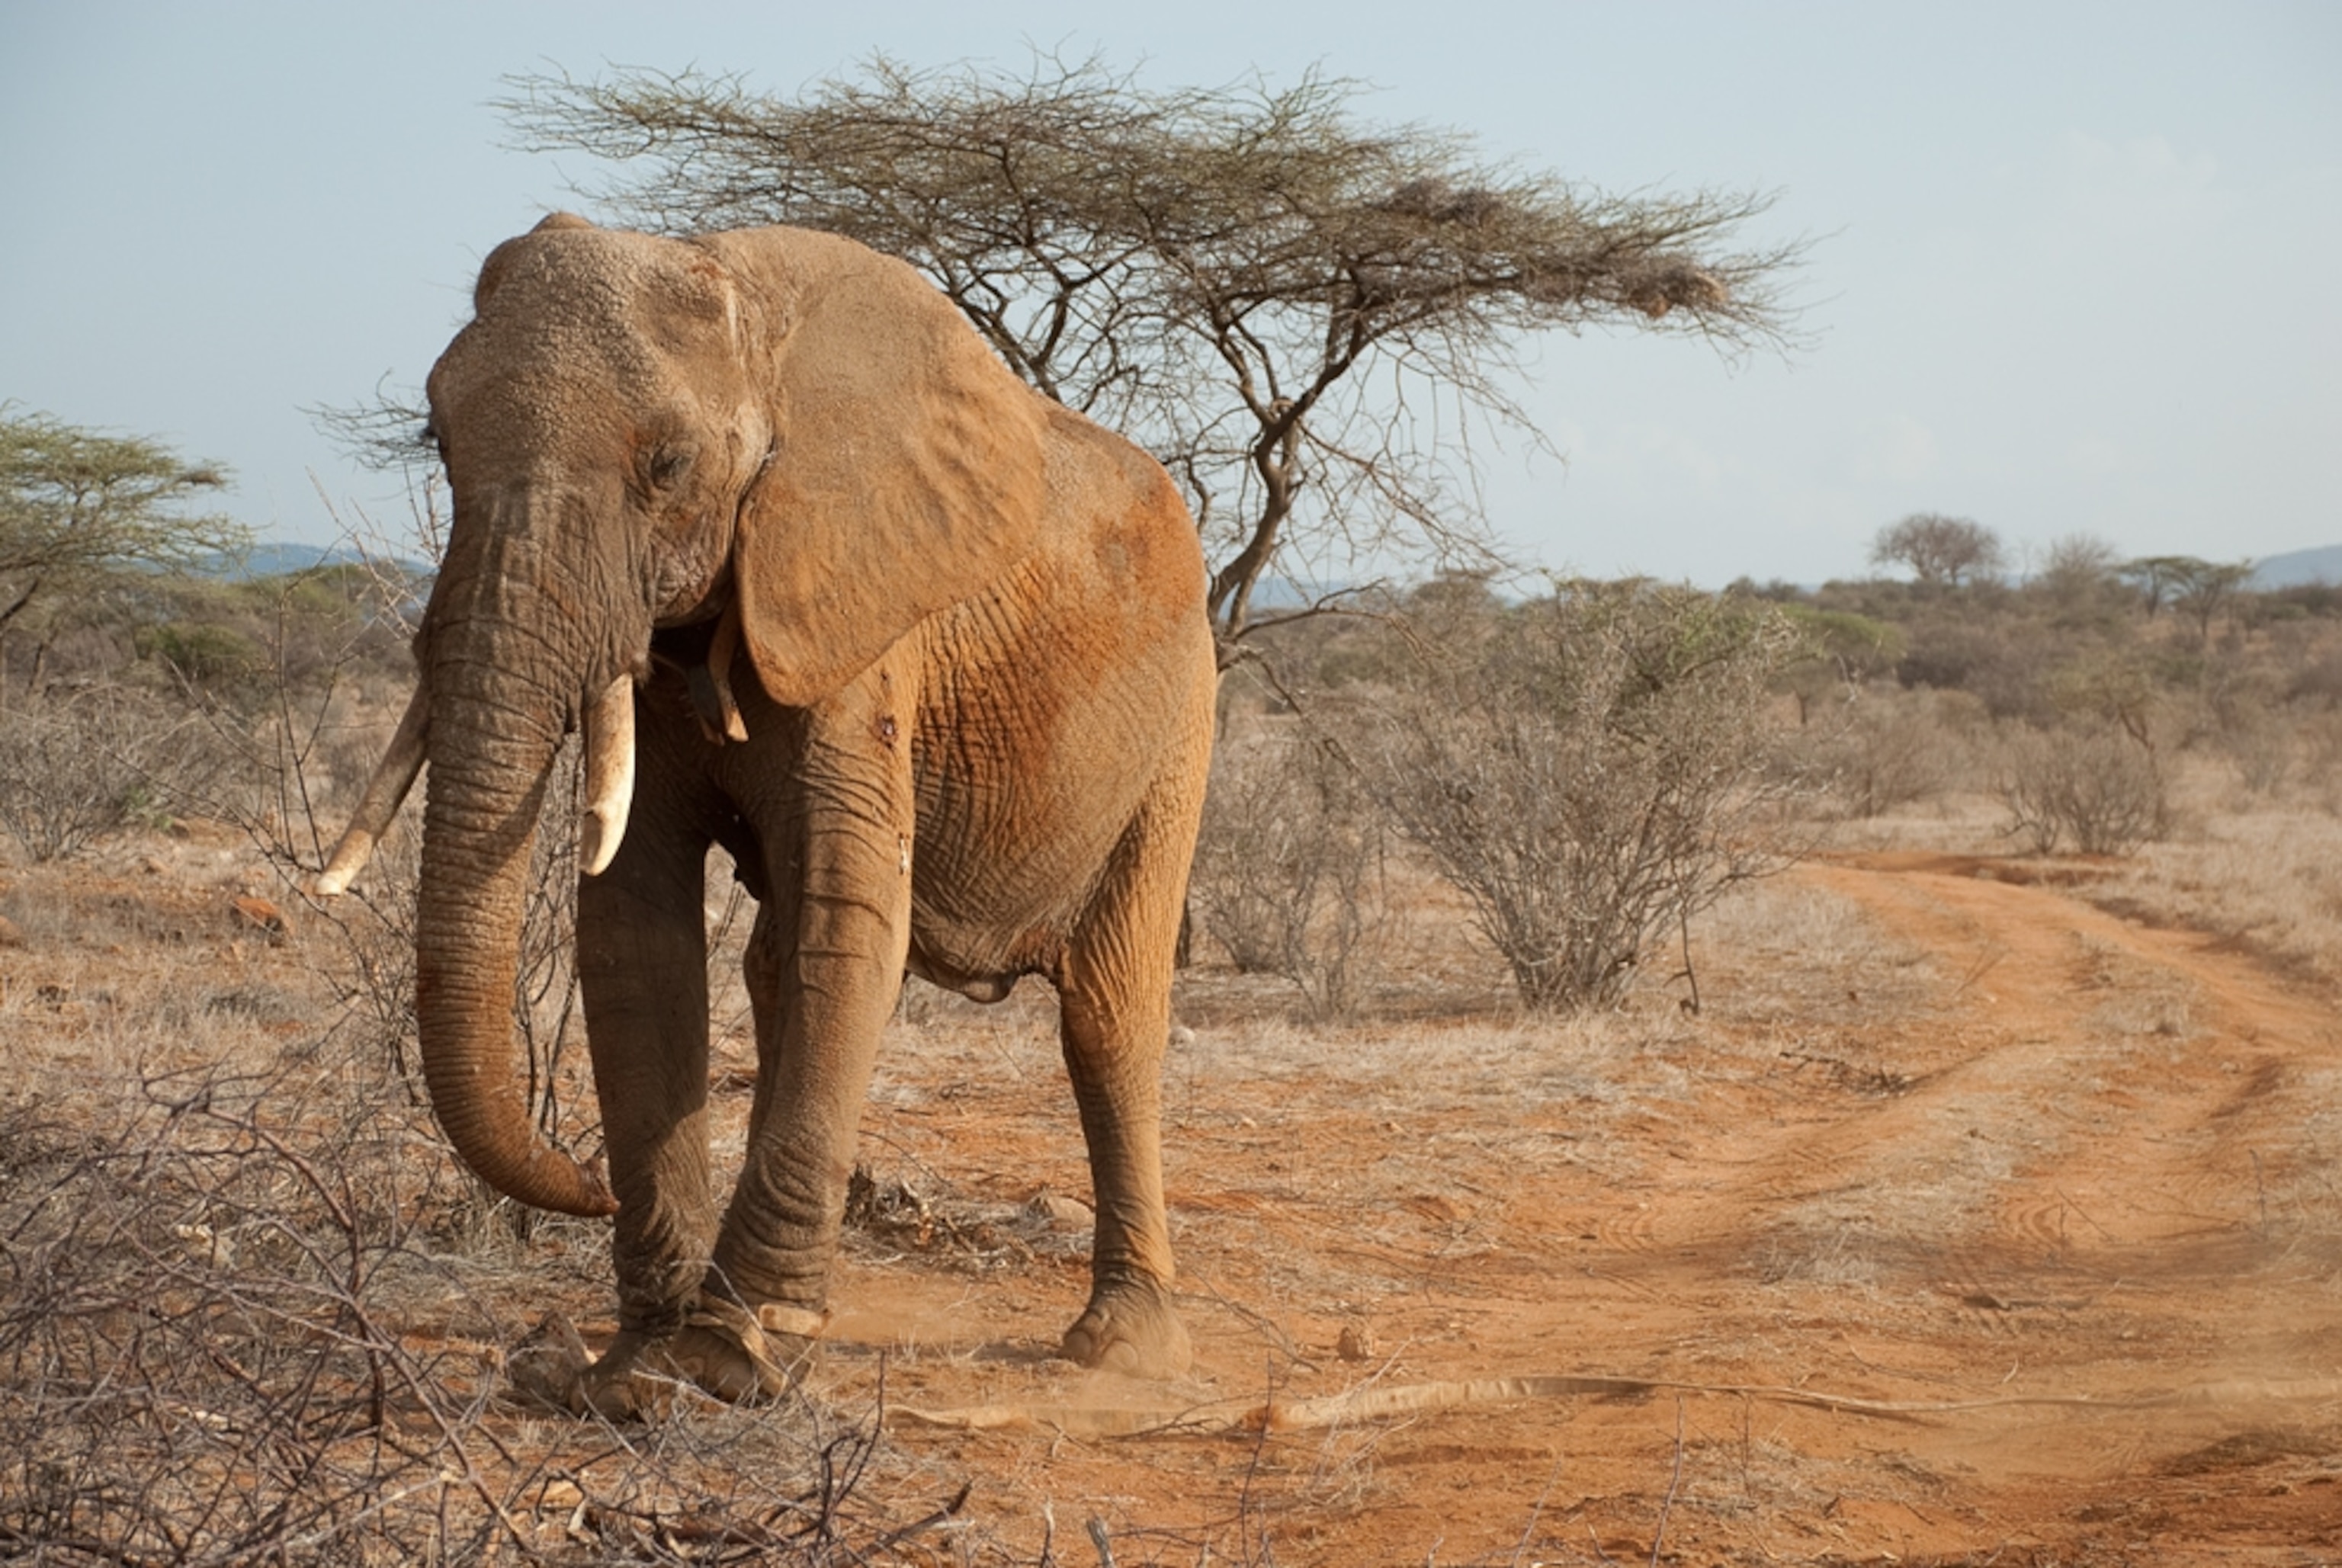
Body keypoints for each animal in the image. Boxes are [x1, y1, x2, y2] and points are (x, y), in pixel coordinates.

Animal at [317, 212, 1217, 1414]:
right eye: (438, 441)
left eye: (667, 465)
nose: (588, 1182)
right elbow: (632, 929)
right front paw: (640, 1367)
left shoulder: (858, 611)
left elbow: (852, 915)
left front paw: (726, 1356)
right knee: (774, 967)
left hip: (1181, 717)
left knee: (1109, 1008)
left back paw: (1120, 1345)